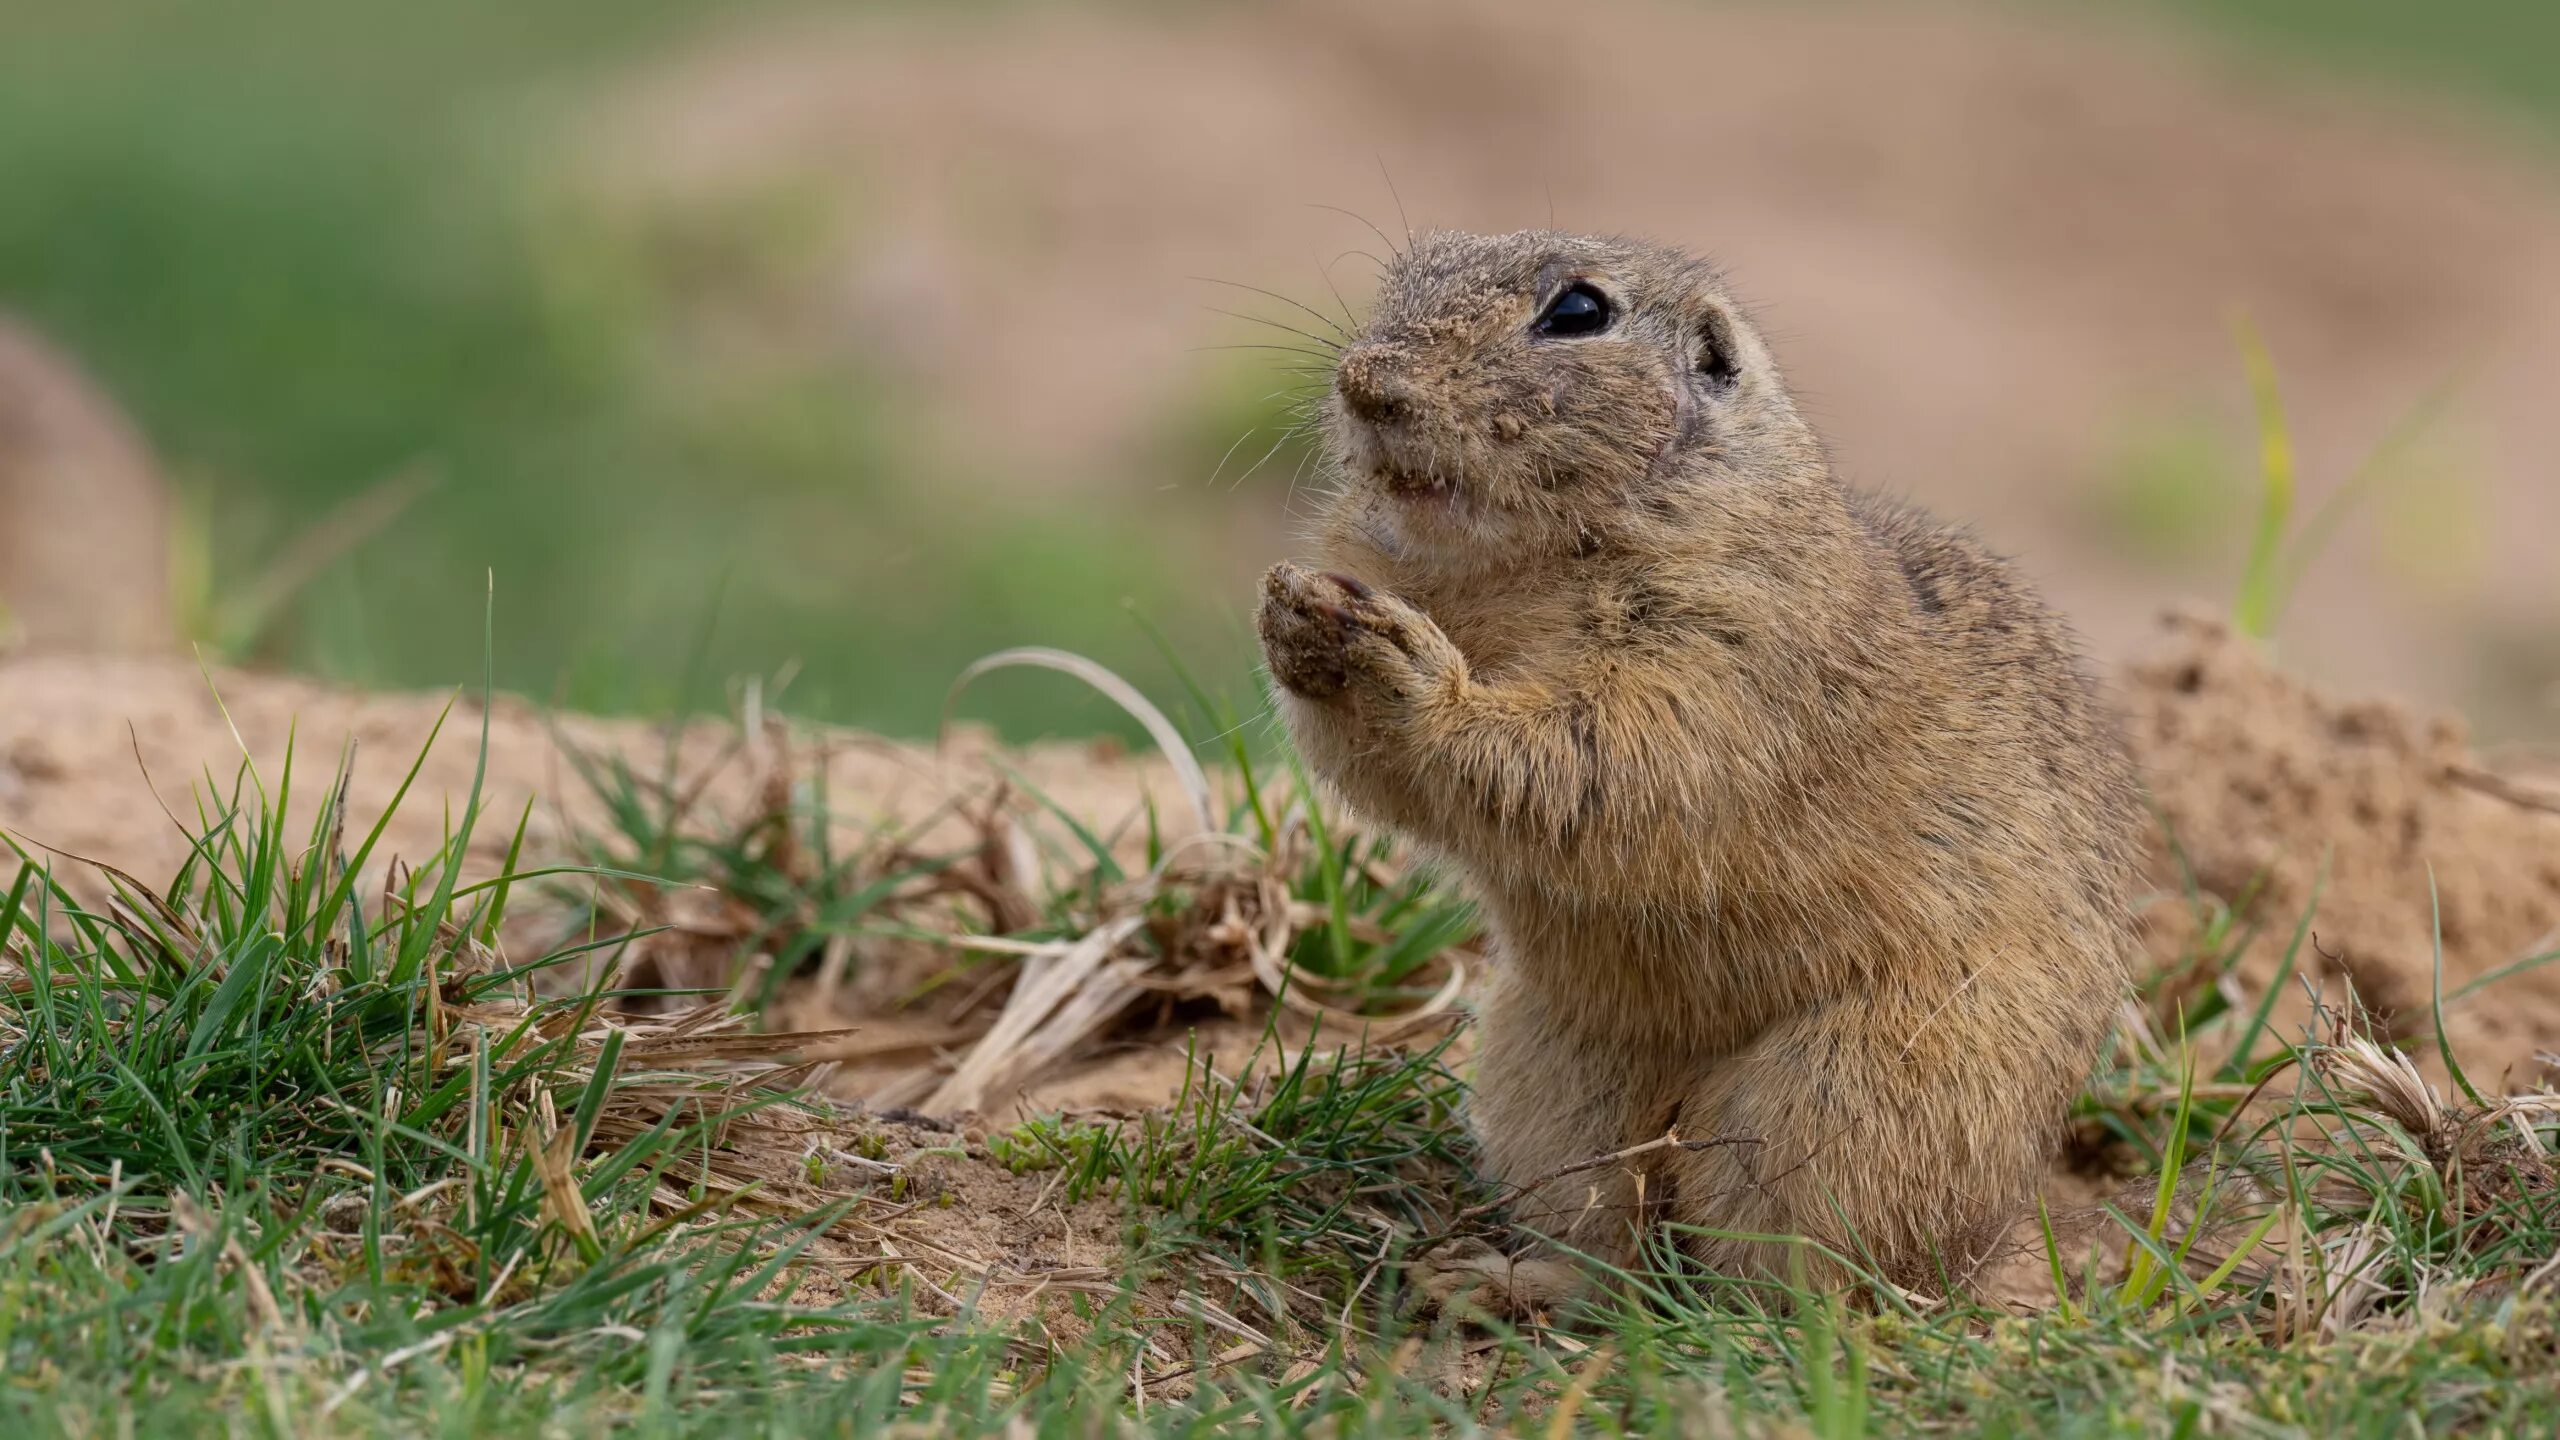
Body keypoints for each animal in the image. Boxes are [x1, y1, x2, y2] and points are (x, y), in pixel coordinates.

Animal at [1259, 229, 2140, 1306]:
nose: (1366, 383)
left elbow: (1598, 755)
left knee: (1777, 1272)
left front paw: (1404, 671)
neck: (1520, 574)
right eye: (1407, 273)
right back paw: (1498, 1280)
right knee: (1614, 1246)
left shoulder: (1728, 650)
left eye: (1579, 312)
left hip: (1850, 1097)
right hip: (1555, 1080)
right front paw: (1294, 617)